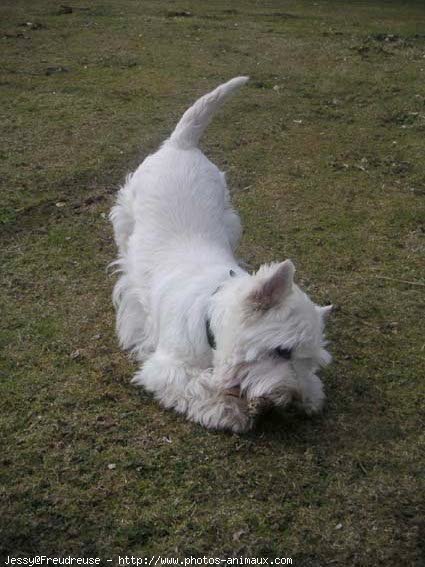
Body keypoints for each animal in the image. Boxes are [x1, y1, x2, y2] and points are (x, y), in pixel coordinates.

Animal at [109, 77, 332, 432]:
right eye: (282, 351)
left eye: (311, 360)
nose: (293, 401)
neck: (209, 313)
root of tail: (181, 144)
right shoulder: (167, 367)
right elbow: (197, 387)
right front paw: (228, 409)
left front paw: (312, 394)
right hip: (126, 219)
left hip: (230, 221)